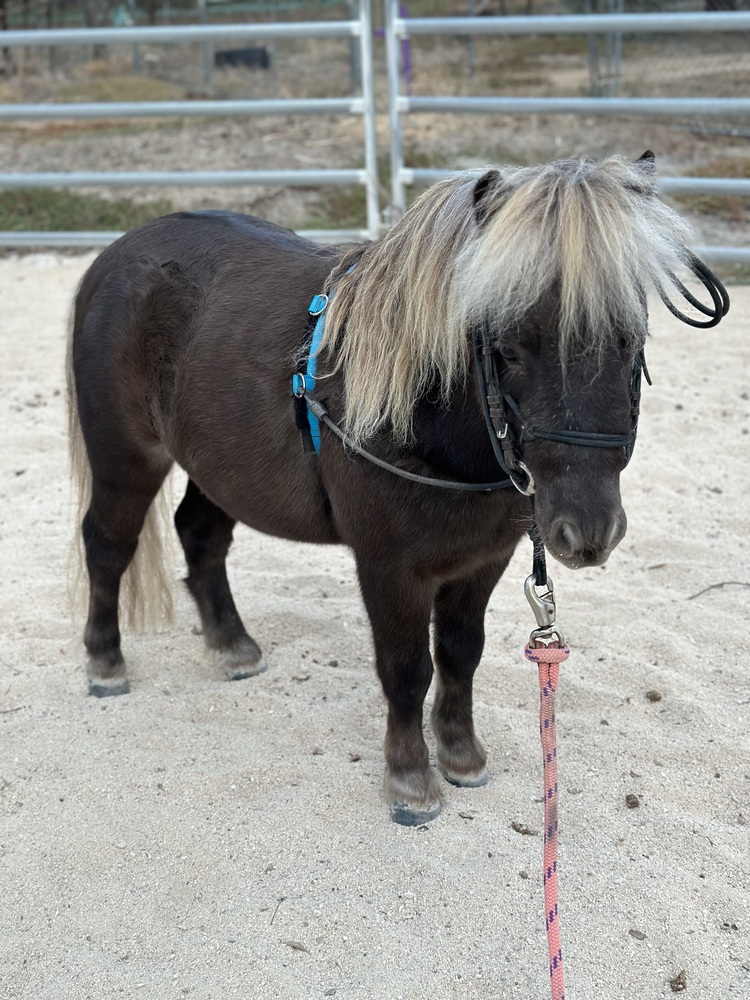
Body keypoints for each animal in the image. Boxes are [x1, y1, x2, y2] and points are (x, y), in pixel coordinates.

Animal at [68, 151, 729, 826]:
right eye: (509, 346)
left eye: (631, 337)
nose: (588, 531)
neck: (424, 420)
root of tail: (117, 253)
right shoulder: (388, 567)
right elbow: (406, 668)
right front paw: (411, 780)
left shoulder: (483, 560)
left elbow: (461, 653)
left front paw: (462, 756)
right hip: (128, 460)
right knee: (107, 545)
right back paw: (106, 661)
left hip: (221, 469)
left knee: (200, 536)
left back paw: (232, 646)